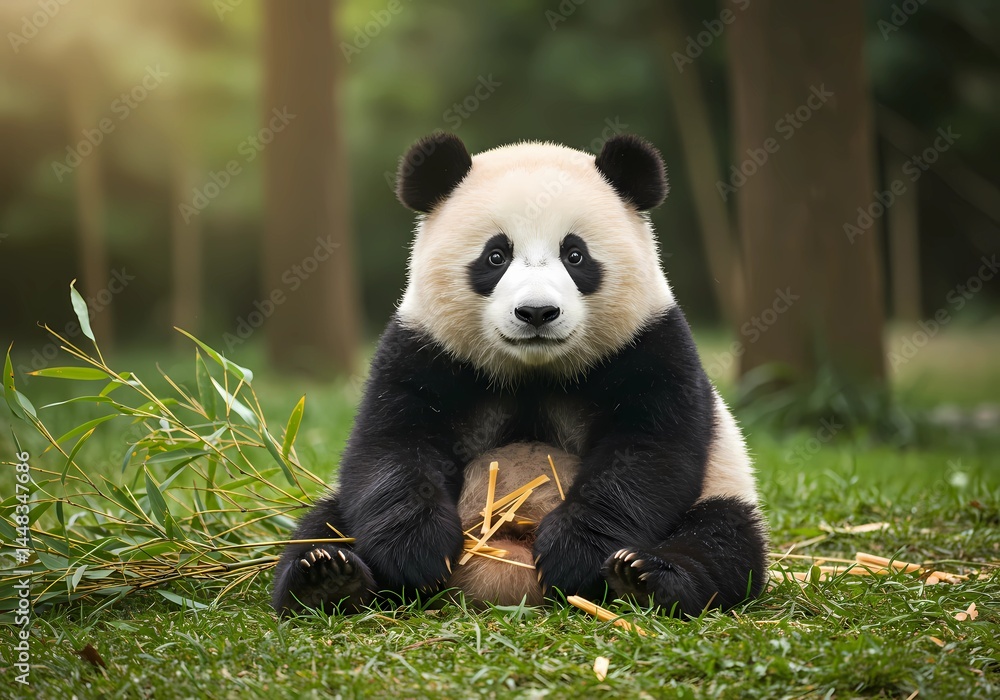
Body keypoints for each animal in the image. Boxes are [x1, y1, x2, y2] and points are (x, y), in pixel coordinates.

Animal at [271, 132, 768, 617]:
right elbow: (392, 446)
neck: (534, 370)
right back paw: (325, 577)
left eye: (575, 255)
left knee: (722, 541)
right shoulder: (423, 349)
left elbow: (646, 453)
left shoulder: (649, 346)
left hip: (723, 486)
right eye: (495, 256)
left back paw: (645, 579)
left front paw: (574, 554)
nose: (537, 312)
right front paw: (417, 552)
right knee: (323, 523)